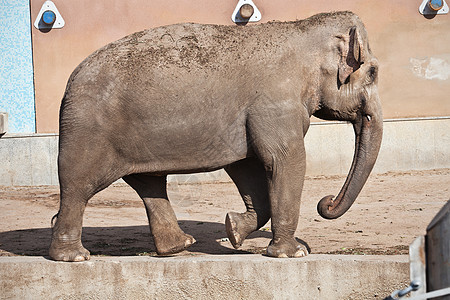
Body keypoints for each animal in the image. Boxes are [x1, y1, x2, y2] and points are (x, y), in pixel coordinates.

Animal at [51, 10, 384, 262]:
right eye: (373, 73)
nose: (326, 202)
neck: (302, 29)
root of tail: (69, 82)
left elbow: (247, 167)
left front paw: (233, 230)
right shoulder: (275, 104)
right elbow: (284, 160)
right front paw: (293, 254)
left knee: (149, 183)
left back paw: (180, 246)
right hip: (87, 130)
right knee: (78, 185)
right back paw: (73, 256)